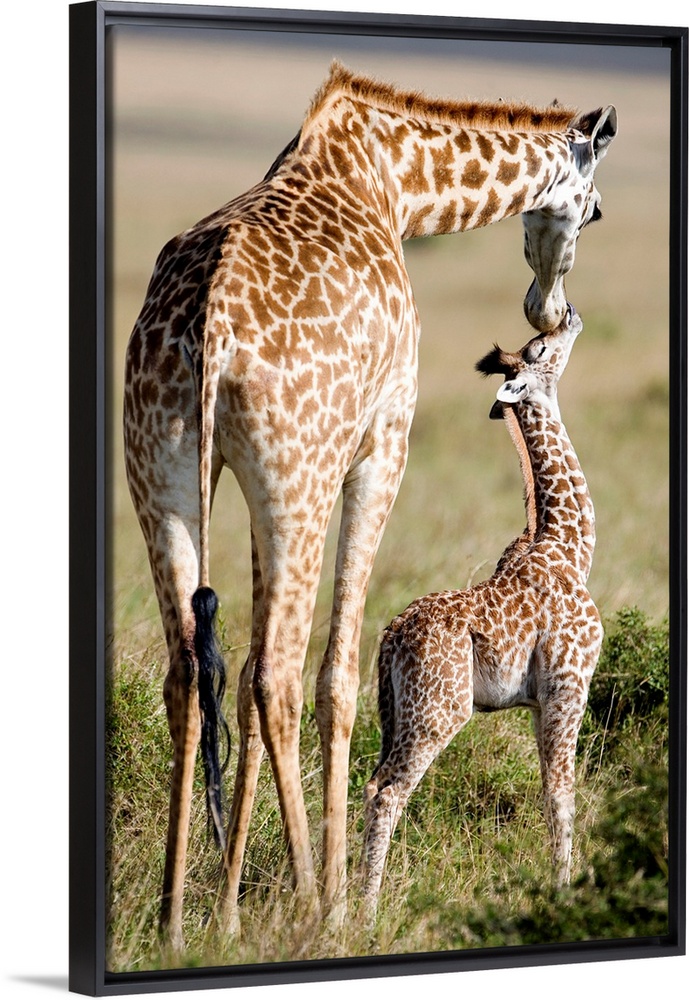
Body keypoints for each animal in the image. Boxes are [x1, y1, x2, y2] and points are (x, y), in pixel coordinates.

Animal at [360, 305, 603, 917]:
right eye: (539, 349)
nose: (570, 314)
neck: (572, 547)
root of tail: (391, 635)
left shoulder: (540, 700)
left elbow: (547, 790)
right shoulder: (569, 683)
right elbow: (562, 793)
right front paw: (564, 893)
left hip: (395, 712)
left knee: (373, 781)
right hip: (439, 710)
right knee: (388, 791)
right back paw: (360, 913)